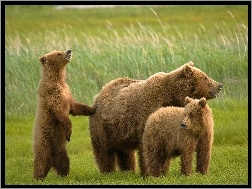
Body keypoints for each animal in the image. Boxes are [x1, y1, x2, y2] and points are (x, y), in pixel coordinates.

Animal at [33, 49, 96, 179]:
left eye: (60, 50)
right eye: (58, 53)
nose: (69, 50)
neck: (58, 79)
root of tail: (52, 163)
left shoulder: (67, 92)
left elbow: (75, 106)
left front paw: (93, 109)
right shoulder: (52, 93)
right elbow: (60, 112)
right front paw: (69, 133)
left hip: (61, 151)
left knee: (64, 162)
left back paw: (63, 175)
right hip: (44, 143)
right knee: (40, 162)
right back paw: (38, 177)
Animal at [89, 61, 222, 173]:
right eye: (205, 77)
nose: (219, 85)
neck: (171, 95)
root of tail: (101, 91)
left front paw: (163, 169)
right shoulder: (147, 113)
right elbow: (148, 146)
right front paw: (148, 172)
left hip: (120, 131)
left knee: (125, 152)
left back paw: (128, 170)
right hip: (103, 128)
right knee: (104, 151)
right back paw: (108, 171)